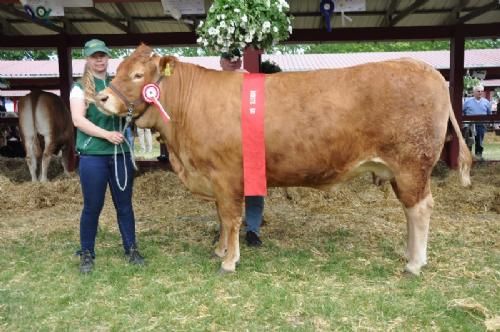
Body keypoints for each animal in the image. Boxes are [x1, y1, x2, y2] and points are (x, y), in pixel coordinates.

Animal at [94, 45, 472, 276]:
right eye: (118, 69)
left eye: (138, 75)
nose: (102, 98)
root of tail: (424, 68)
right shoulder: (216, 178)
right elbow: (221, 218)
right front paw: (219, 250)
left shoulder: (225, 174)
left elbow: (230, 218)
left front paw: (229, 261)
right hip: (400, 170)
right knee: (411, 211)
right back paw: (409, 255)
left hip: (412, 165)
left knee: (420, 209)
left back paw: (415, 263)